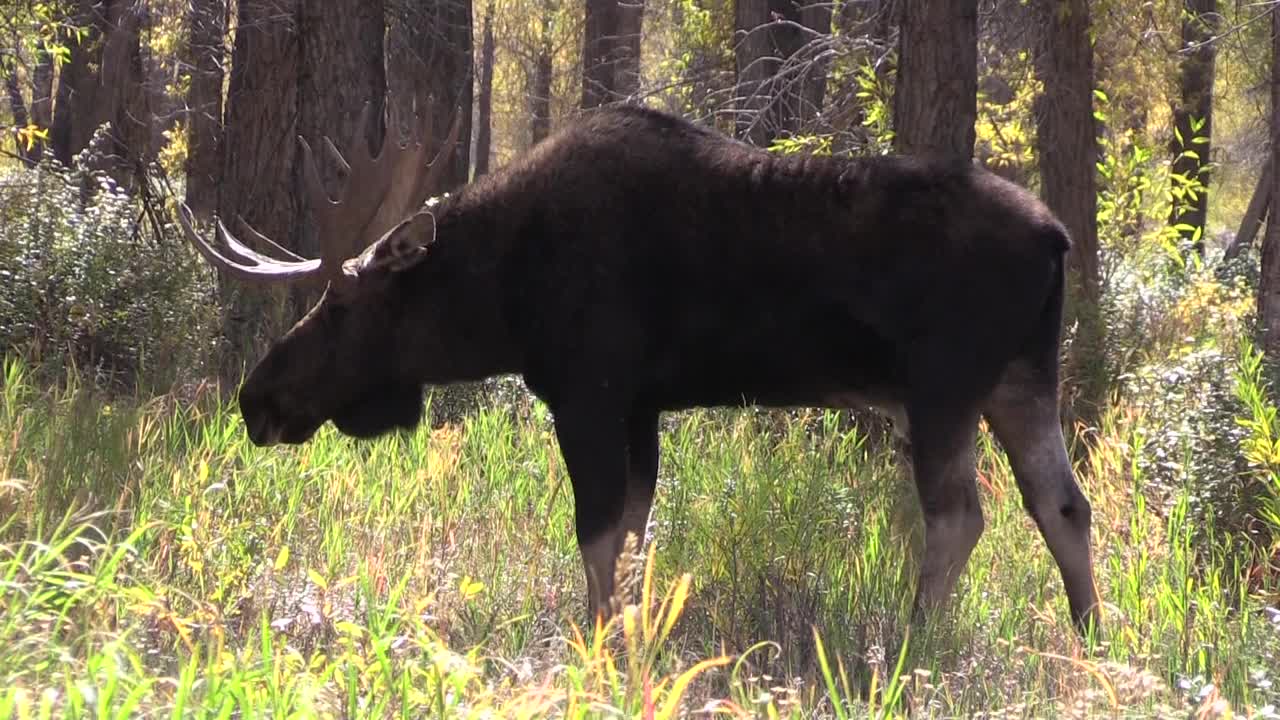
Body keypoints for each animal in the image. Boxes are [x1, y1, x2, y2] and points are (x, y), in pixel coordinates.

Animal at [175, 94, 1105, 632]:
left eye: (340, 307)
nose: (257, 400)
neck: (499, 299)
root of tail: (1057, 237)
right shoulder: (642, 407)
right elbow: (630, 537)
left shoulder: (588, 390)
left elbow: (594, 537)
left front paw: (595, 651)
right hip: (1021, 382)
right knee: (1063, 505)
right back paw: (1090, 641)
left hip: (945, 386)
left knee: (961, 518)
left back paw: (912, 651)